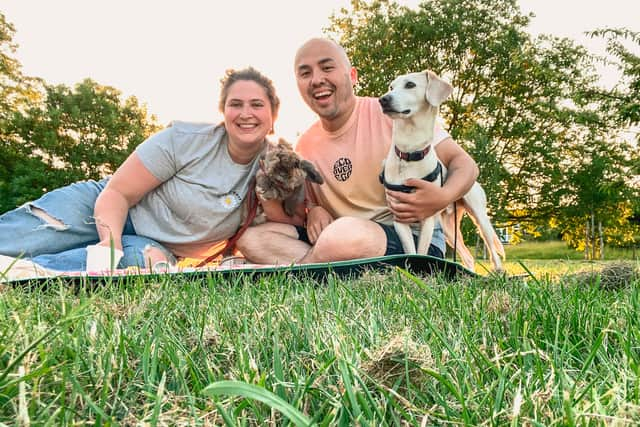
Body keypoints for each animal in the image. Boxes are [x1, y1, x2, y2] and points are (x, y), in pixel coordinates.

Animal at [376, 70, 504, 270]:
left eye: (410, 85)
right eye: (391, 87)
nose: (383, 99)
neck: (409, 153)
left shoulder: (427, 219)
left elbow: (421, 252)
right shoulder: (400, 220)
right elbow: (411, 251)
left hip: (480, 217)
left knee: (493, 251)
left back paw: (499, 272)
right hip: (449, 228)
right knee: (468, 257)